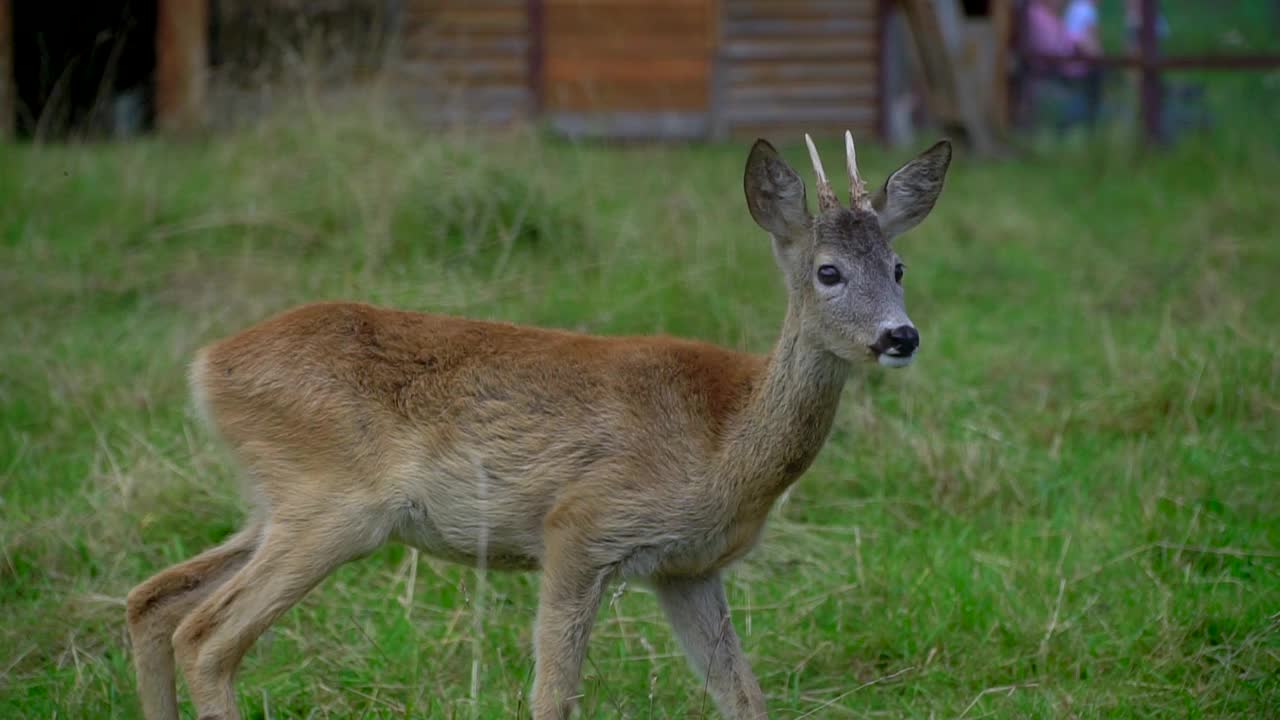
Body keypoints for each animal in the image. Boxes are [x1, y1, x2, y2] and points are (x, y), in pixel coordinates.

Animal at [129, 131, 952, 712]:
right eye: (827, 271)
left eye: (900, 267)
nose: (900, 336)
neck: (726, 438)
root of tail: (207, 364)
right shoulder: (581, 526)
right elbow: (553, 696)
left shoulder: (686, 567)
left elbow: (743, 696)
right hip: (332, 503)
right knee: (207, 636)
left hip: (279, 500)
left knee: (155, 599)